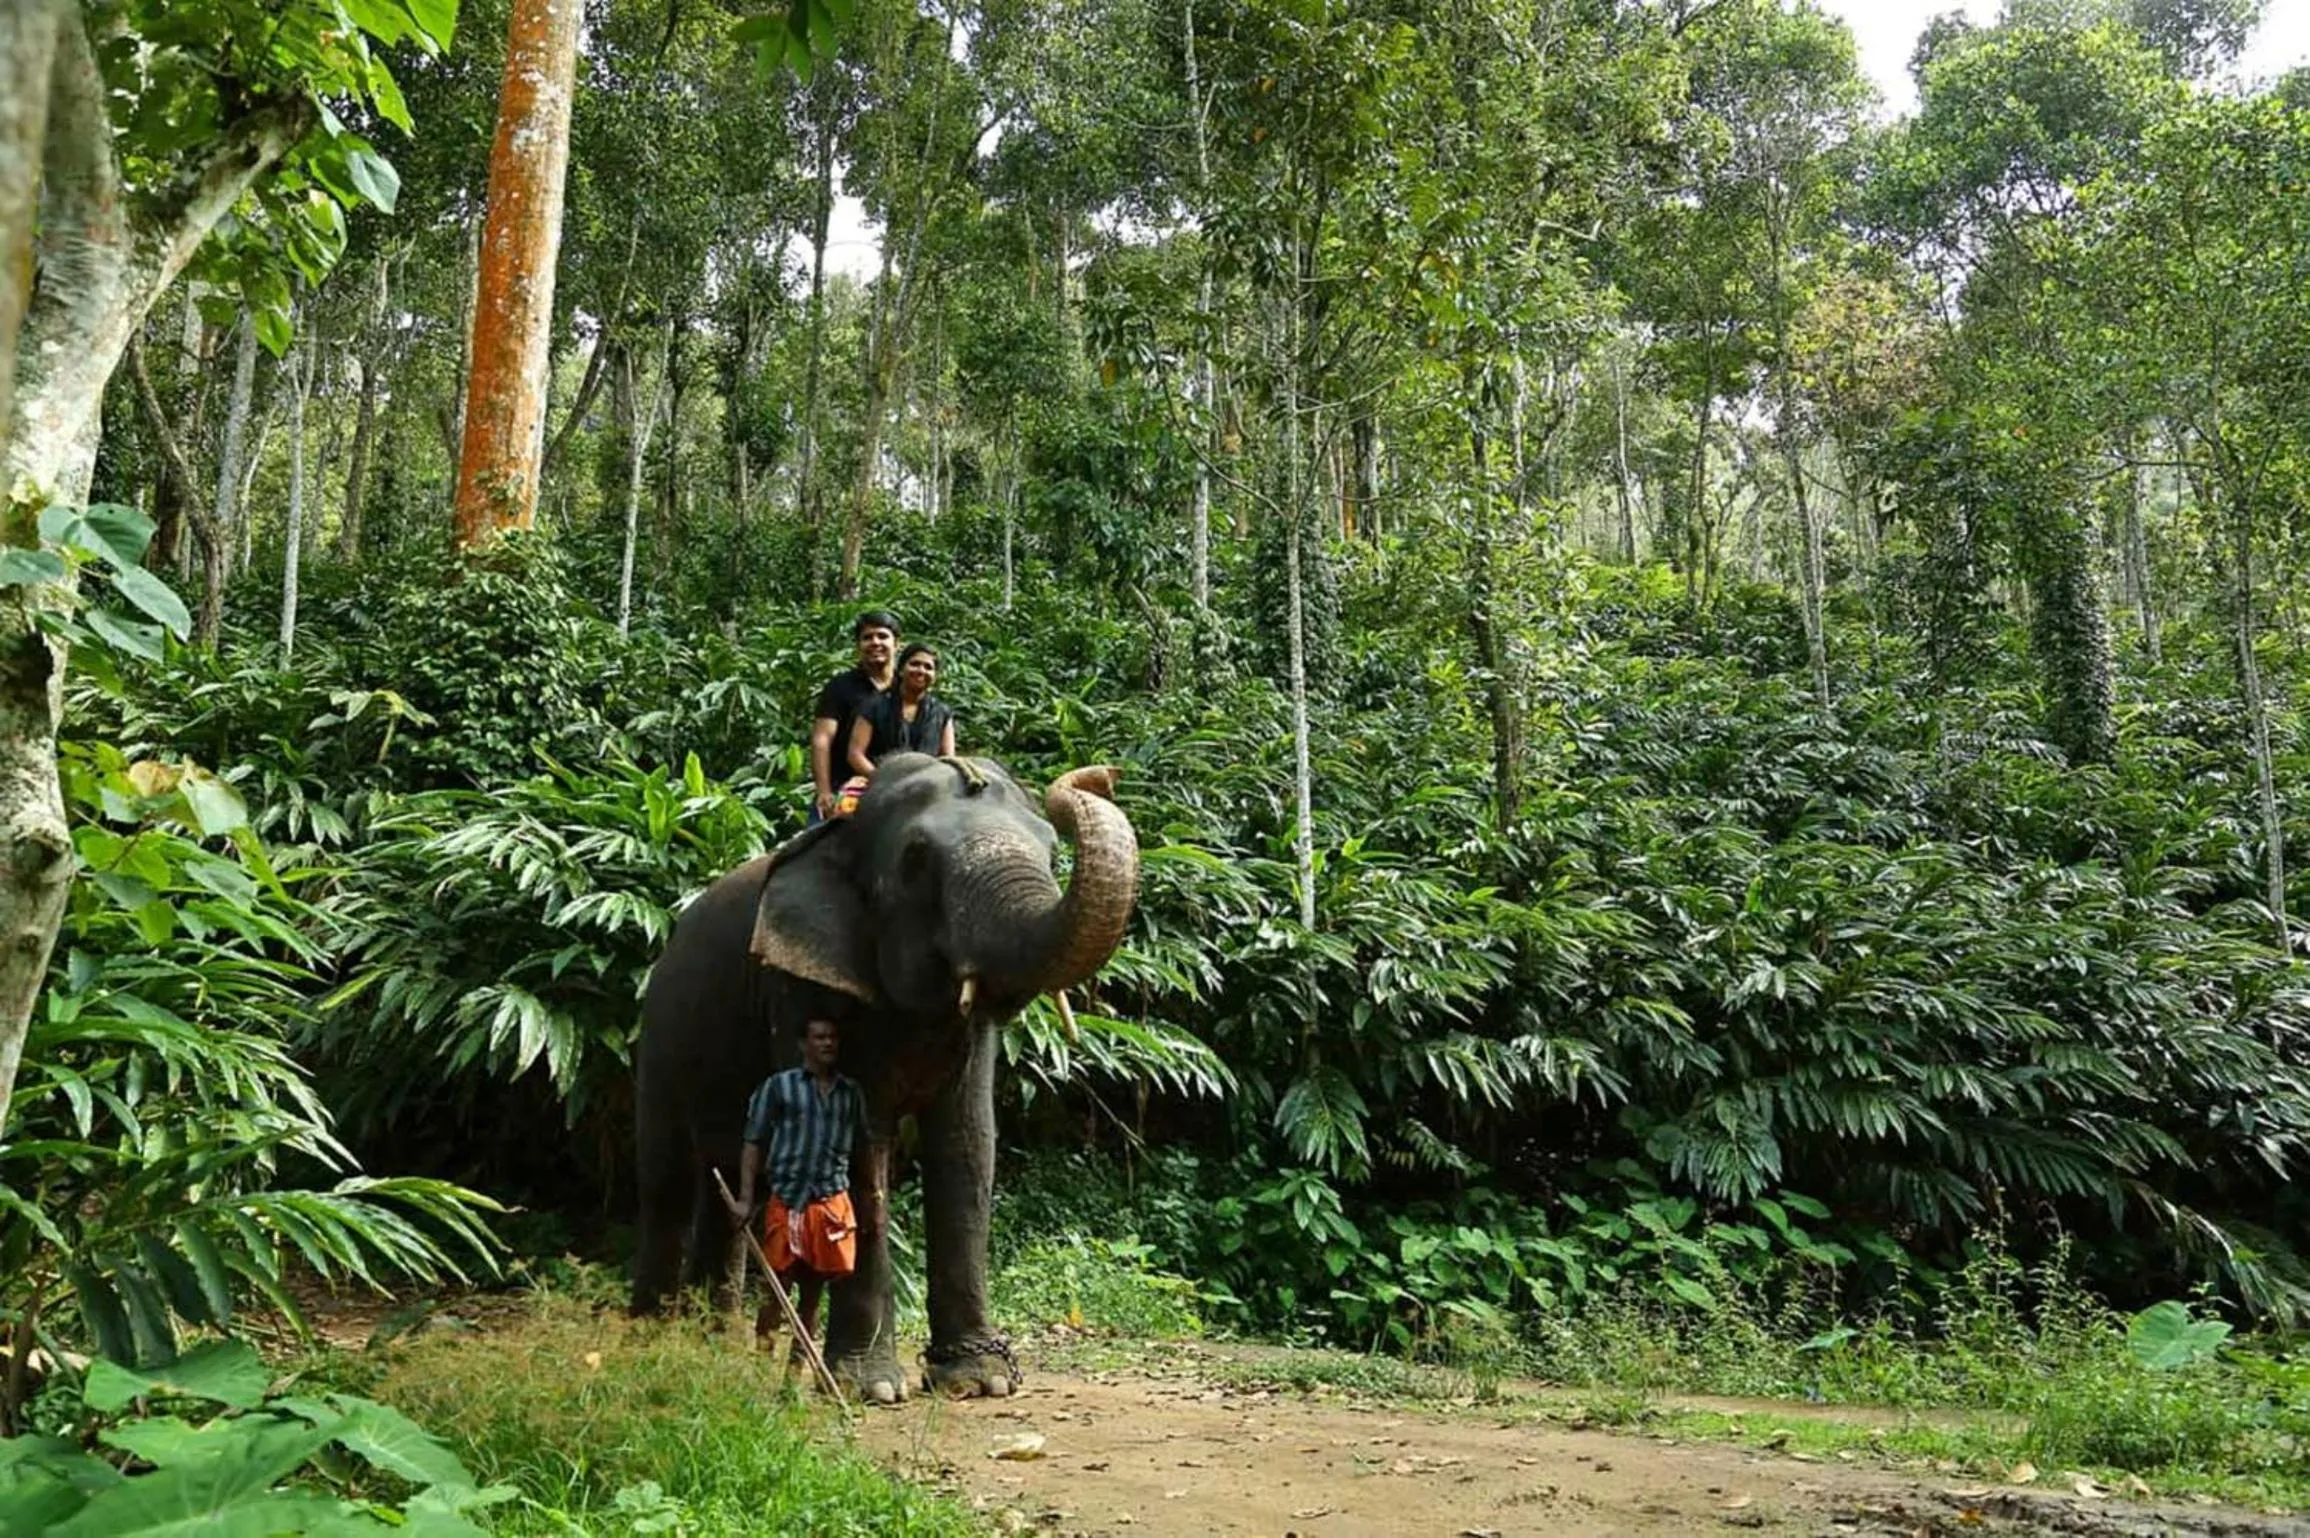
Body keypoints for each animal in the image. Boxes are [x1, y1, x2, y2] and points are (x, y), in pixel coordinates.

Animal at [629, 752, 1140, 1402]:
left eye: (1052, 849)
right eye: (916, 860)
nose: (1103, 775)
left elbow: (968, 1143)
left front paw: (981, 1381)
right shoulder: (798, 985)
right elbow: (857, 1144)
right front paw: (871, 1389)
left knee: (728, 1186)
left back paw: (712, 1346)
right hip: (660, 1029)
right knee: (664, 1178)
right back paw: (651, 1341)